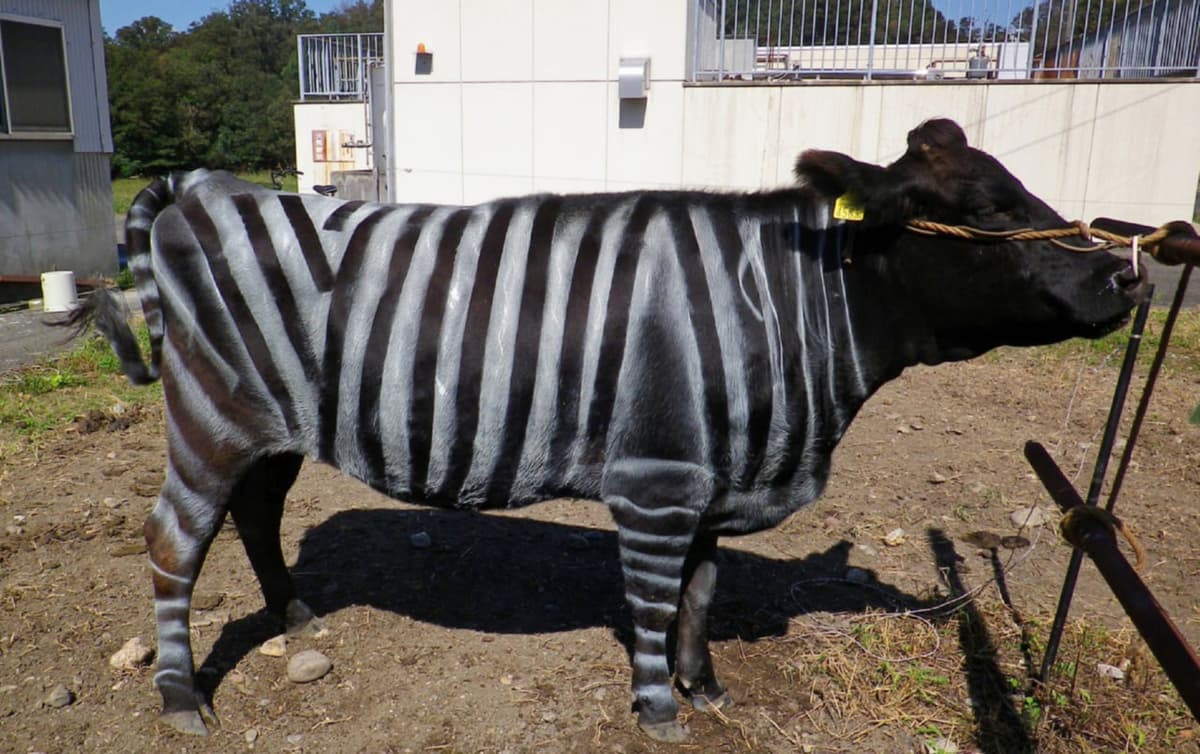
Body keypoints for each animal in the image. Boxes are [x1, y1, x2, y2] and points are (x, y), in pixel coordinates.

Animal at [69, 119, 1145, 741]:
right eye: (979, 211)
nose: (1125, 274)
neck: (780, 309)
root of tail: (207, 186)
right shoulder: (660, 481)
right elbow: (658, 602)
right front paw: (662, 708)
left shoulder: (715, 476)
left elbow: (702, 594)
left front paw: (707, 689)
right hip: (210, 417)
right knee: (174, 542)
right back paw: (182, 699)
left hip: (274, 425)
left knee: (253, 515)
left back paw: (295, 616)